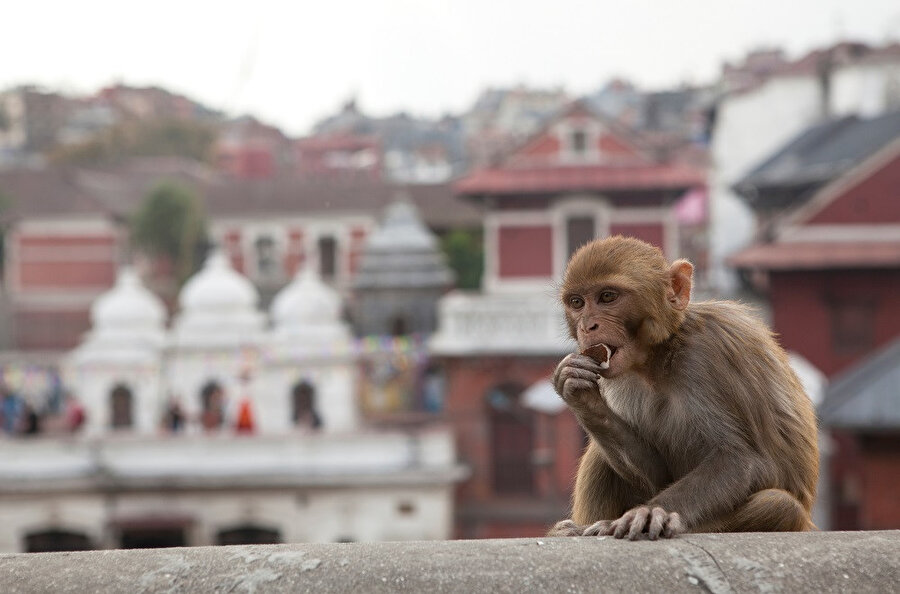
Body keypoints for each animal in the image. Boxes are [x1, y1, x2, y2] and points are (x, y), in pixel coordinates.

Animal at [544, 235, 820, 536]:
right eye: (577, 303)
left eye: (607, 297)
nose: (587, 326)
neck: (658, 357)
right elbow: (659, 475)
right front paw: (580, 394)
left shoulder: (707, 353)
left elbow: (738, 460)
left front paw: (650, 513)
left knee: (779, 504)